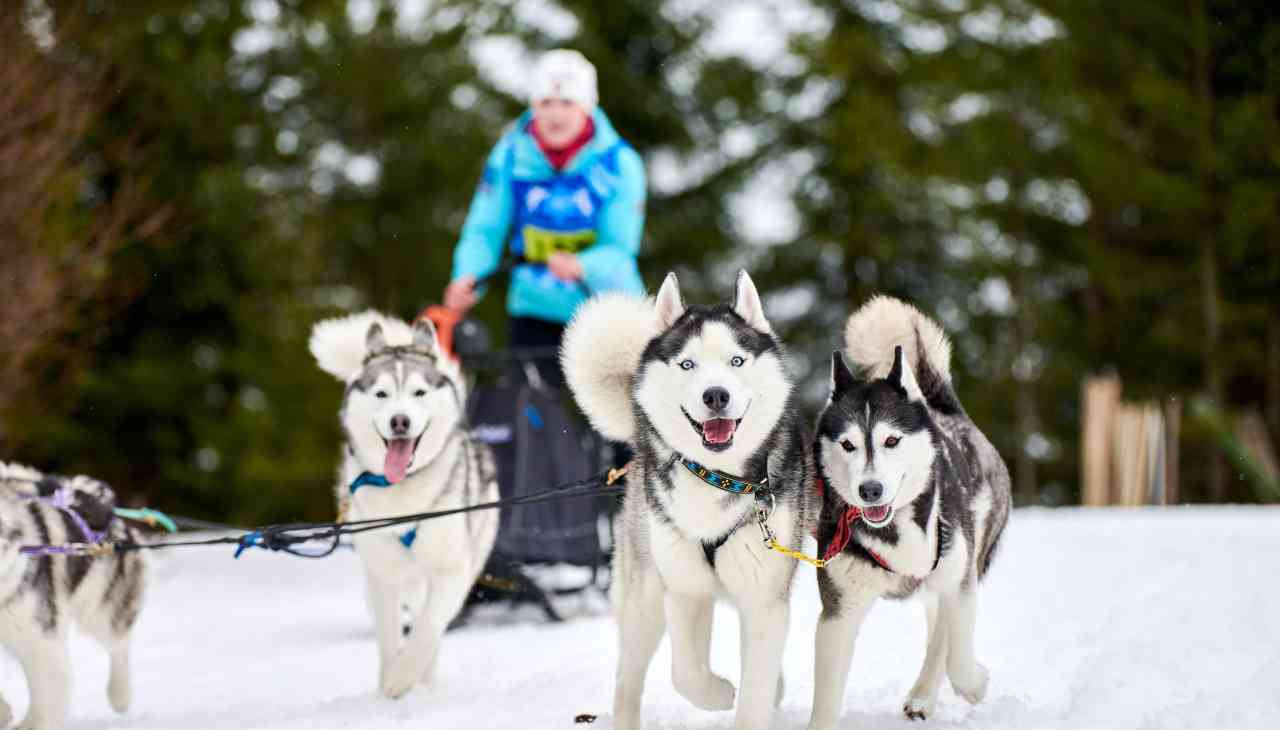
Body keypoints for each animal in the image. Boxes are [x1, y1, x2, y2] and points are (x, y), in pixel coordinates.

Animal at [309, 309, 499, 696]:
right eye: (381, 393)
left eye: (418, 392)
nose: (400, 420)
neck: (404, 493)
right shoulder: (382, 576)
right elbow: (389, 636)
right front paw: (389, 680)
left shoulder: (450, 571)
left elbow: (427, 629)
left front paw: (405, 678)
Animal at [563, 270, 819, 727]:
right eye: (687, 364)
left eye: (737, 361)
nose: (715, 395)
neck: (718, 480)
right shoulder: (684, 590)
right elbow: (685, 674)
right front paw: (720, 693)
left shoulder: (764, 599)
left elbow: (754, 689)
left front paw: (750, 696)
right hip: (644, 598)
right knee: (628, 679)